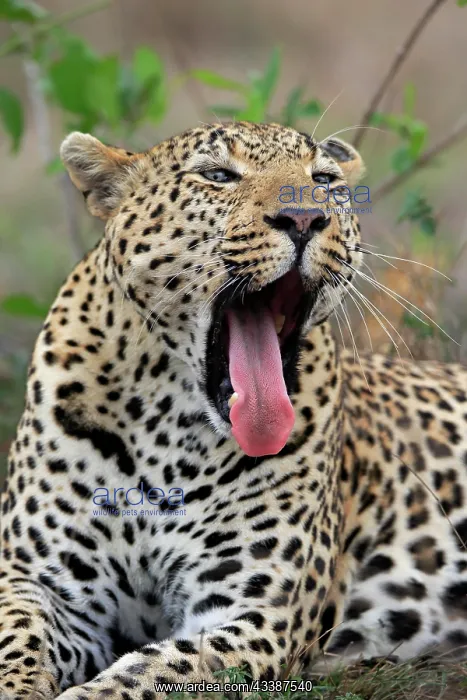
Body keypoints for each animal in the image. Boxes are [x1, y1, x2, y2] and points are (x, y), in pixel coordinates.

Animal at [1, 121, 467, 700]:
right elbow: (18, 643)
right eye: (218, 176)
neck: (166, 427)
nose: (304, 218)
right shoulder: (43, 585)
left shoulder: (253, 614)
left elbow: (143, 676)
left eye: (324, 180)